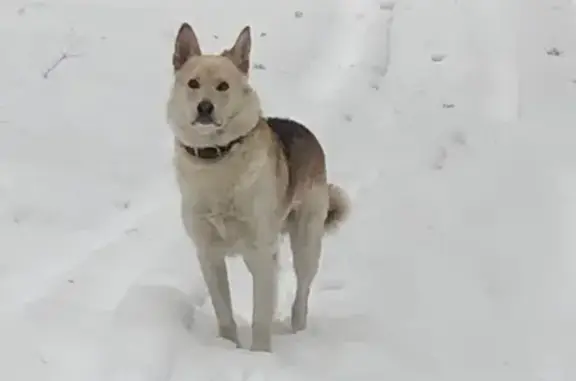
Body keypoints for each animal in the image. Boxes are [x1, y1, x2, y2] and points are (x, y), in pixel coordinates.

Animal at [164, 22, 348, 352]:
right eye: (193, 83)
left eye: (223, 86)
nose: (204, 107)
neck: (217, 158)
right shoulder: (208, 253)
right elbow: (224, 312)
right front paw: (229, 347)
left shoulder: (261, 253)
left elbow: (261, 316)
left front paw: (260, 354)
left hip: (306, 242)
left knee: (302, 292)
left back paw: (297, 329)